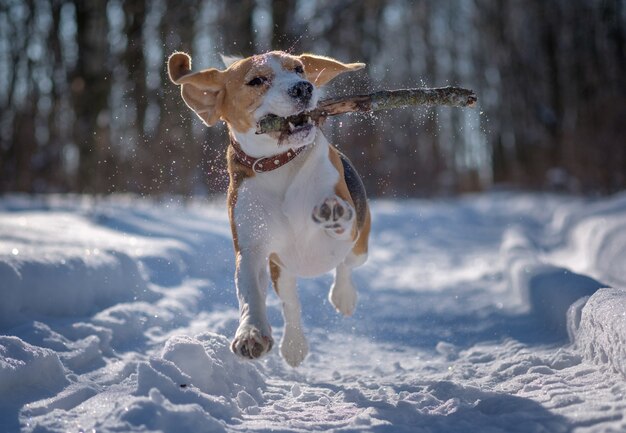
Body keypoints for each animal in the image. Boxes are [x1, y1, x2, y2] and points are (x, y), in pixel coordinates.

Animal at [168, 49, 368, 364]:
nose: (303, 88)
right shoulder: (251, 249)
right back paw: (294, 345)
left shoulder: (345, 232)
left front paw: (333, 211)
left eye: (299, 69)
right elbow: (249, 292)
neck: (279, 165)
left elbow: (338, 226)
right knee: (291, 303)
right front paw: (251, 333)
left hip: (360, 246)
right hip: (281, 270)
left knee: (346, 265)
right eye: (256, 81)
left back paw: (343, 295)